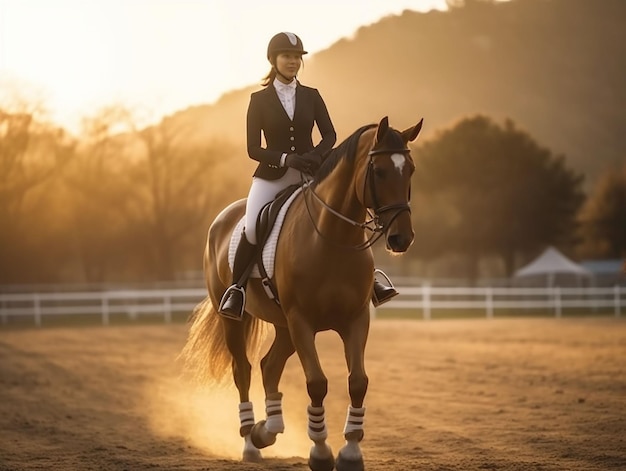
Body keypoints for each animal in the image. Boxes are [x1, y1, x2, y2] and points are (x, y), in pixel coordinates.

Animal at [183, 116, 422, 470]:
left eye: (410, 169)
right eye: (378, 171)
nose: (401, 238)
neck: (333, 239)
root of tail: (222, 219)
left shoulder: (355, 320)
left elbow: (358, 381)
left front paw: (351, 452)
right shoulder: (303, 322)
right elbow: (317, 383)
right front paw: (320, 452)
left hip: (283, 326)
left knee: (269, 366)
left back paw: (267, 430)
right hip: (237, 321)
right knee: (243, 371)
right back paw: (250, 443)